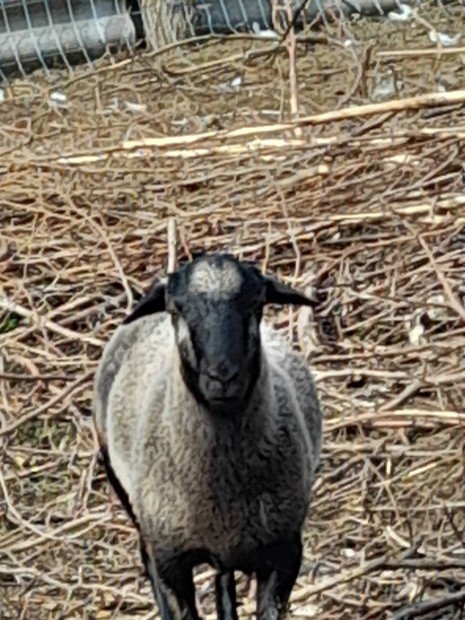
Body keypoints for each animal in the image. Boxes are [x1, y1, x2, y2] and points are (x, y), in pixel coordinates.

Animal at [92, 253, 320, 620]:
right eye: (177, 308)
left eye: (256, 302)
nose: (222, 376)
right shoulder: (171, 560)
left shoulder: (285, 553)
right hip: (129, 497)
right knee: (146, 557)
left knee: (223, 580)